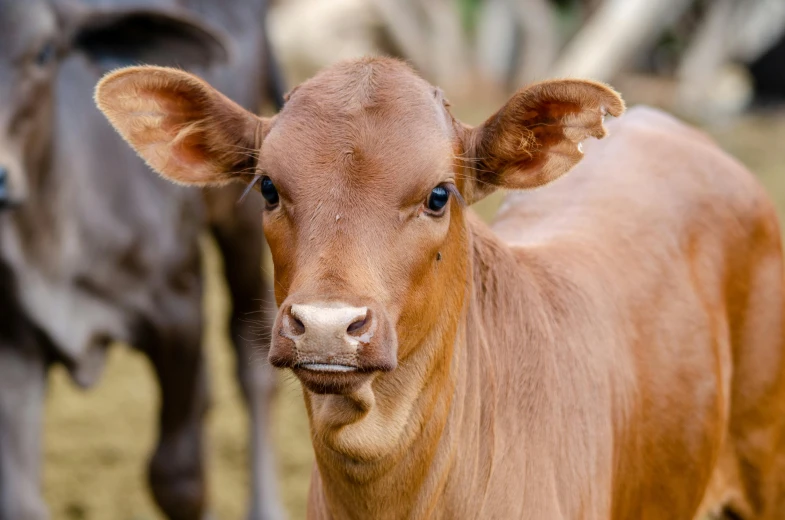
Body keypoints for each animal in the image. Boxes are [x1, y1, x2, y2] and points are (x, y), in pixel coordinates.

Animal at [0, 1, 284, 520]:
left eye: (44, 51)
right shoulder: (13, 341)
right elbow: (19, 499)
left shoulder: (177, 311)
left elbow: (177, 480)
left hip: (242, 224)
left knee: (252, 360)